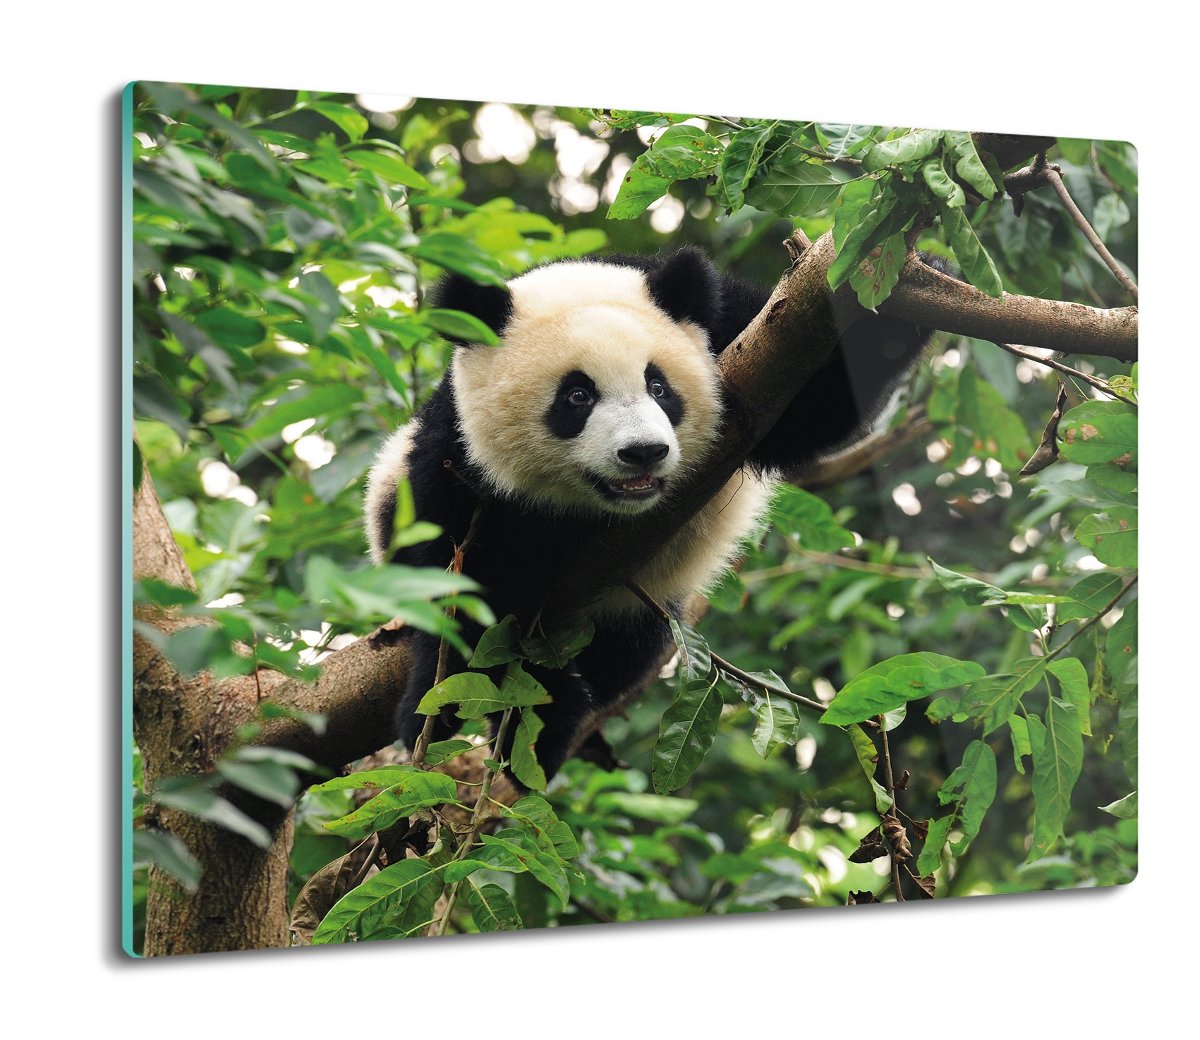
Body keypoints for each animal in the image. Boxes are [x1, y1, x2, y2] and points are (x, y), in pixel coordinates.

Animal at [364, 247, 931, 783]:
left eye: (658, 387)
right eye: (577, 395)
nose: (643, 452)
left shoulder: (740, 334)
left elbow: (818, 405)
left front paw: (905, 279)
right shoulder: (456, 457)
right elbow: (471, 591)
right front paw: (501, 710)